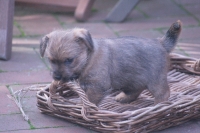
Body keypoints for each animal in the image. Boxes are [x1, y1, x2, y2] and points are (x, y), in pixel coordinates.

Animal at [39, 20, 182, 105]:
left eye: (69, 60)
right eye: (50, 60)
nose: (57, 76)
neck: (88, 60)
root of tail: (161, 43)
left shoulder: (96, 87)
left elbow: (90, 101)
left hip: (155, 80)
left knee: (163, 94)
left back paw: (158, 105)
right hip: (132, 79)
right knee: (136, 90)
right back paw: (124, 97)